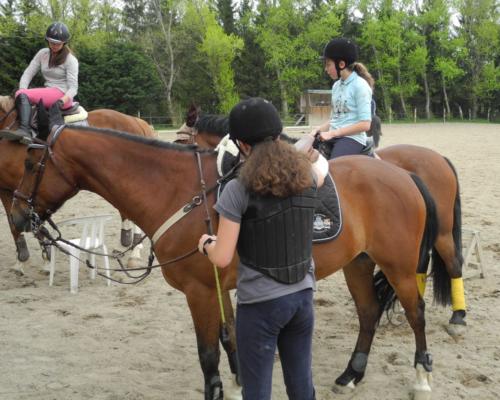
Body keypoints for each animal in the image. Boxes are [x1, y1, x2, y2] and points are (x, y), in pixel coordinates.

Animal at [0, 95, 156, 264]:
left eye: (29, 165)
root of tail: (136, 121)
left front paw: (44, 252)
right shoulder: (9, 190)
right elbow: (15, 221)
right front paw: (26, 255)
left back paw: (135, 249)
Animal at [10, 123, 446, 398]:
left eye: (31, 164)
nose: (16, 216)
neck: (178, 191)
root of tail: (403, 174)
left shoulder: (199, 291)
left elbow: (208, 353)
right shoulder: (220, 288)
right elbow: (231, 338)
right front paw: (240, 385)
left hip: (400, 267)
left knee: (416, 314)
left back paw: (422, 379)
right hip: (358, 262)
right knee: (369, 312)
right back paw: (351, 375)